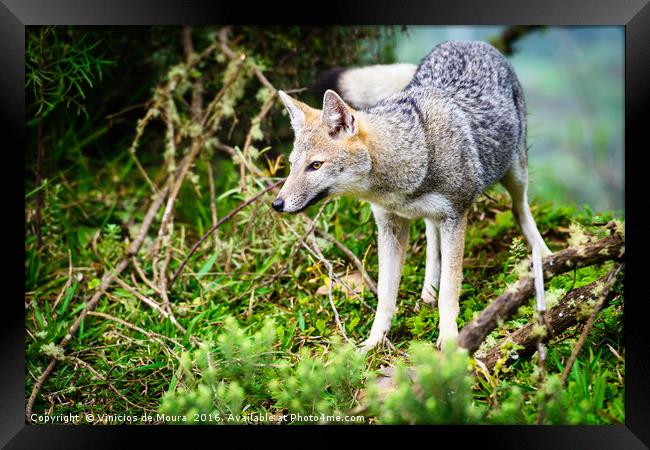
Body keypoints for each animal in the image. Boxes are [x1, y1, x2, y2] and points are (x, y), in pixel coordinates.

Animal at [270, 40, 548, 352]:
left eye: (315, 166)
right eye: (292, 165)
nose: (276, 204)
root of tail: (467, 42)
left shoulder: (456, 216)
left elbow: (450, 290)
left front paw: (449, 338)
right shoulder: (390, 226)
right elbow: (385, 296)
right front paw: (373, 343)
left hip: (516, 174)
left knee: (519, 210)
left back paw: (545, 255)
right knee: (430, 233)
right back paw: (428, 287)